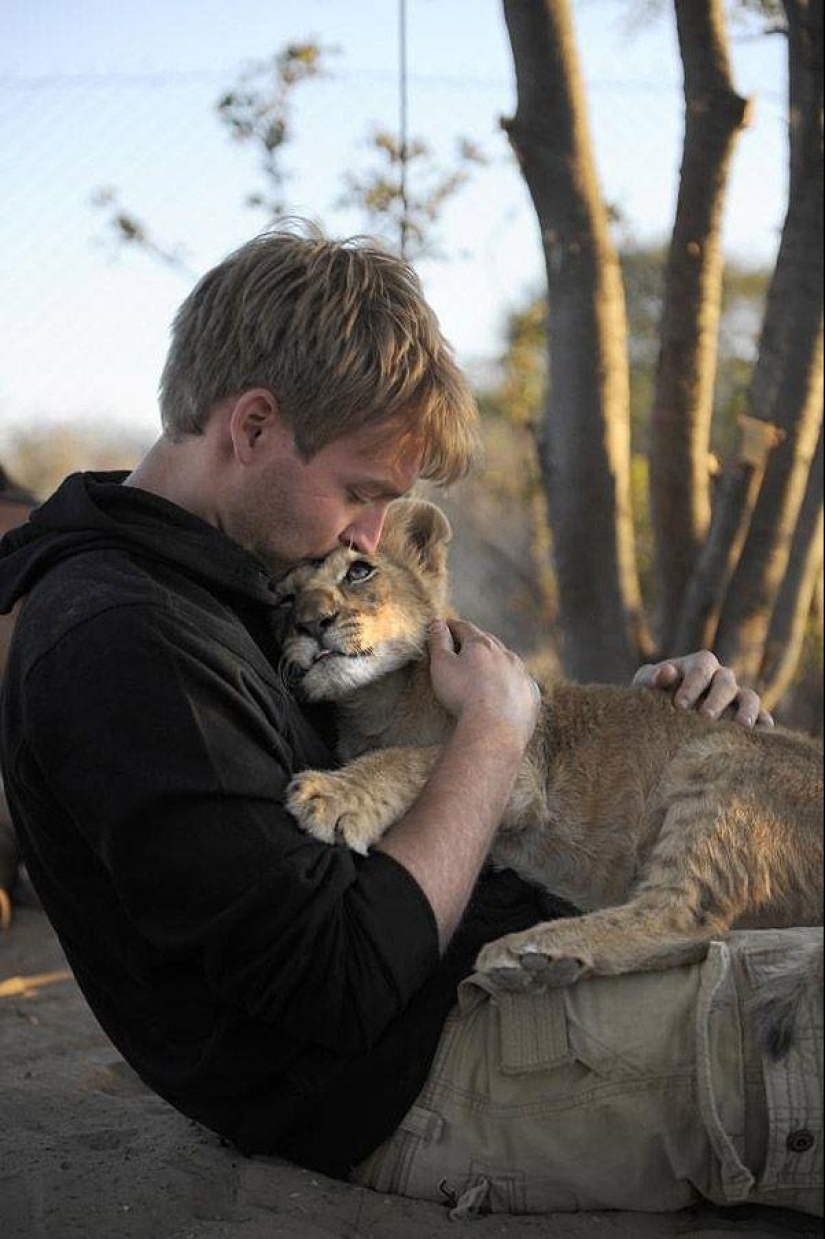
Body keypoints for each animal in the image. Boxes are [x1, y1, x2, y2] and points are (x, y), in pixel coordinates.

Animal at [275, 499, 823, 987]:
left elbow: (414, 757)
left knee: (683, 918)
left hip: (720, 760)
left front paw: (334, 795)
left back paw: (529, 950)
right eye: (283, 599)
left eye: (359, 572)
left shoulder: (518, 765)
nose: (310, 622)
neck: (376, 703)